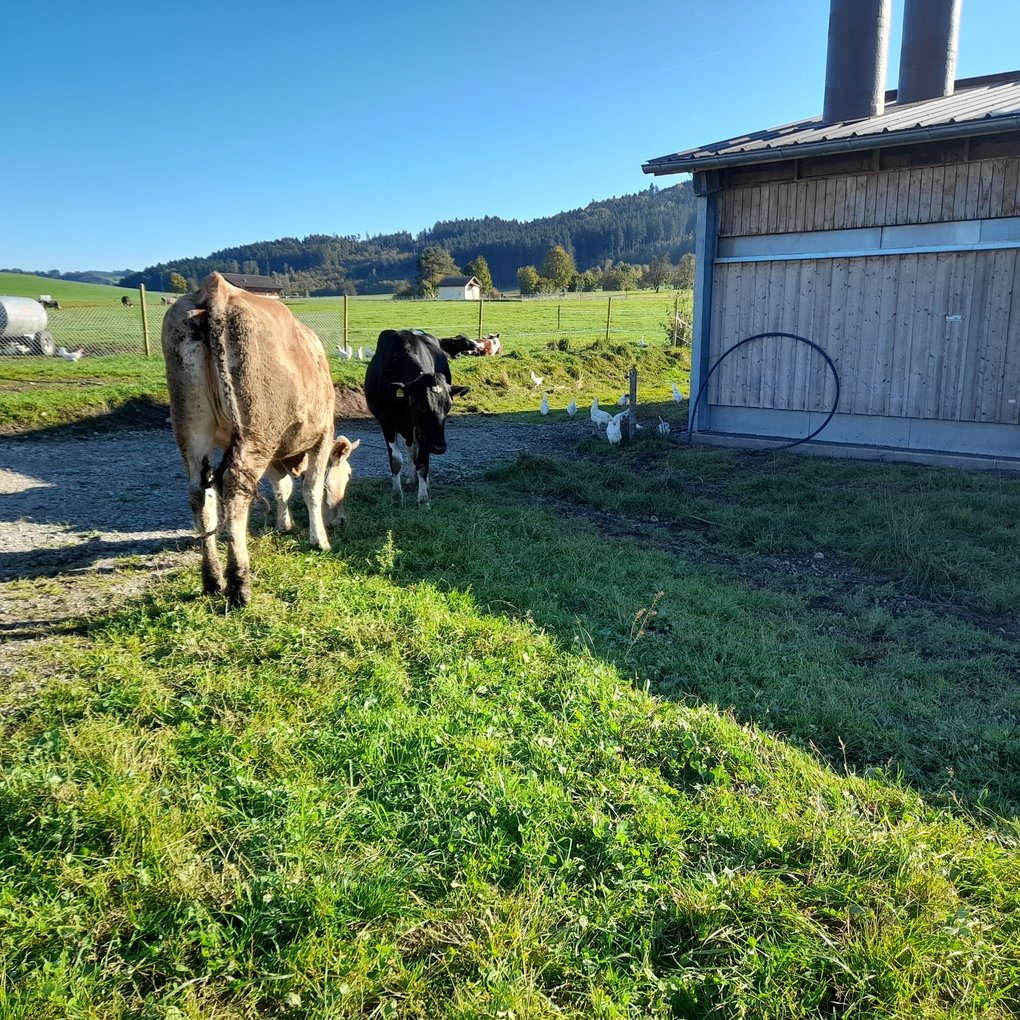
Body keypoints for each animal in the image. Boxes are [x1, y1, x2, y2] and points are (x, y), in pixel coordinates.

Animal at [165, 271, 357, 603]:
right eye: (346, 474)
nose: (342, 519)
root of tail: (217, 291)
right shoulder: (321, 435)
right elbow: (311, 489)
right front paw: (319, 539)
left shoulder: (275, 450)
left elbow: (282, 489)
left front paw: (284, 524)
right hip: (255, 432)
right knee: (234, 488)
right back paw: (239, 583)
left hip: (191, 426)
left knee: (200, 495)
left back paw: (212, 579)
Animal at [367, 328, 469, 507]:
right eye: (422, 407)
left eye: (448, 408)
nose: (440, 447)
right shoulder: (387, 422)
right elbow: (396, 460)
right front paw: (396, 497)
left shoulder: (424, 432)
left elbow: (422, 461)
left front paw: (423, 499)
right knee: (409, 449)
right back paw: (411, 480)